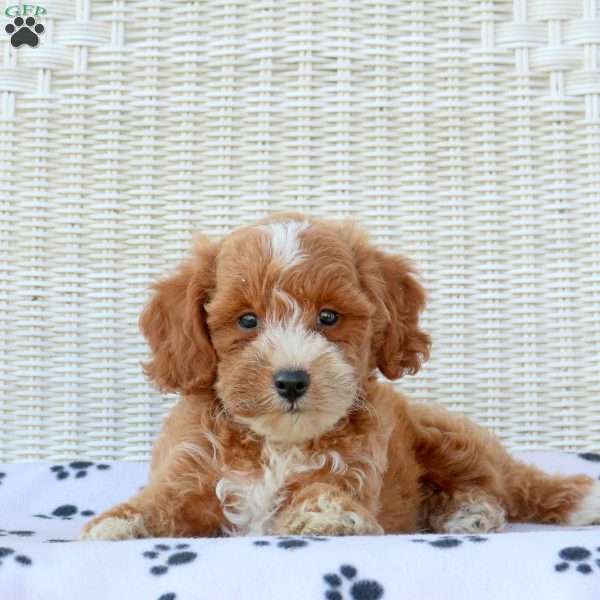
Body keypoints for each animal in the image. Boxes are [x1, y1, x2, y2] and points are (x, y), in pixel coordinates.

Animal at [81, 214, 600, 540]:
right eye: (247, 321)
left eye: (329, 317)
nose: (292, 381)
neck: (276, 443)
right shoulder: (190, 471)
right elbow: (164, 501)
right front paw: (119, 522)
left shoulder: (352, 467)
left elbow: (322, 490)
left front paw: (326, 518)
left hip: (447, 436)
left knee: (509, 482)